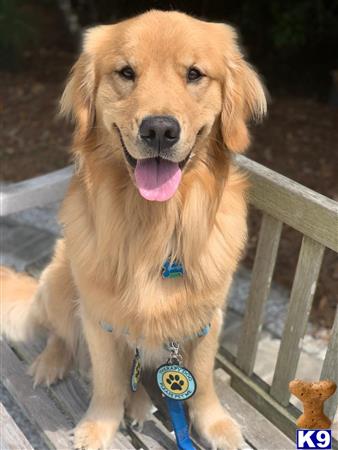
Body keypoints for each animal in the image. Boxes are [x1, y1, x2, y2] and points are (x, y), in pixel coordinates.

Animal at [1, 10, 266, 450]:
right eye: (126, 72)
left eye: (194, 74)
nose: (159, 129)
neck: (155, 226)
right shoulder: (99, 317)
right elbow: (108, 381)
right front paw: (97, 427)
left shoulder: (206, 317)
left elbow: (203, 379)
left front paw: (216, 424)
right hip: (60, 278)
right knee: (60, 333)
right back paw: (51, 363)